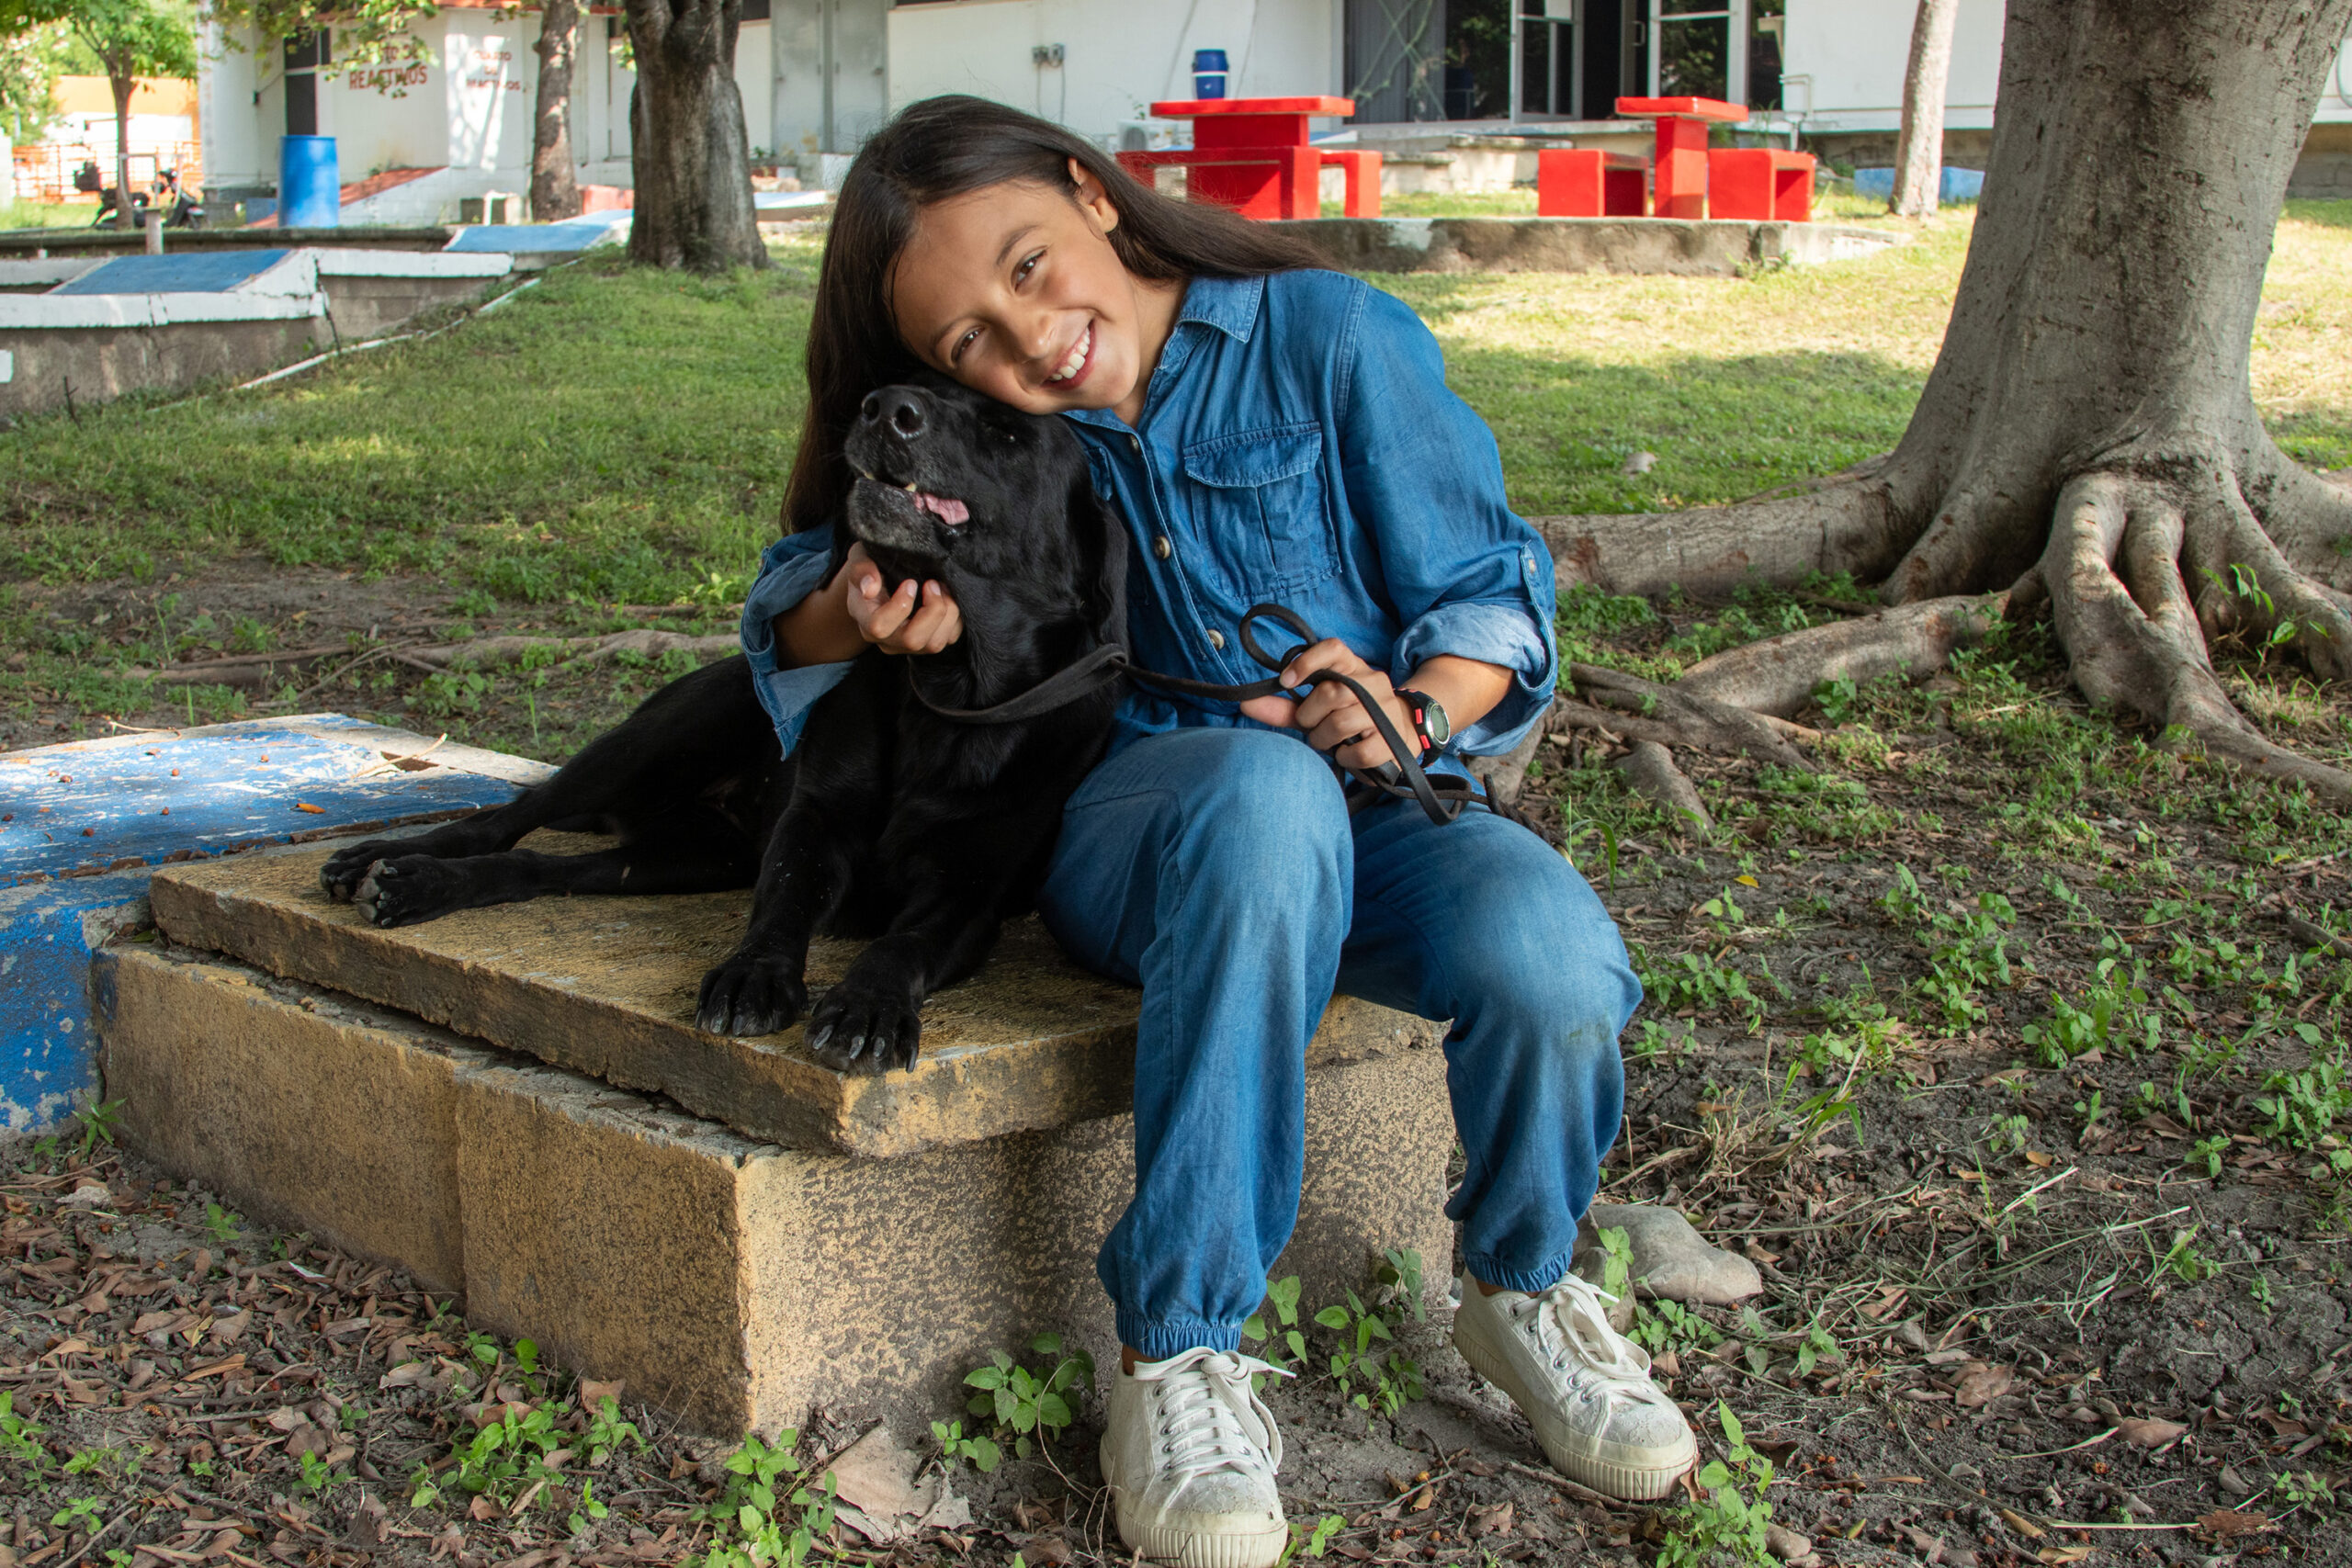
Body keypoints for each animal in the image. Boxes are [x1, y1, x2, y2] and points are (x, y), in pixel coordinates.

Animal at [317, 373, 1124, 1072]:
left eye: (1008, 431)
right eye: (920, 376)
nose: (881, 406)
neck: (949, 688)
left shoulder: (969, 892)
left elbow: (902, 945)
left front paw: (867, 1005)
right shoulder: (812, 824)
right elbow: (781, 902)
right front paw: (753, 975)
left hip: (686, 857)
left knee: (544, 867)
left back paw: (430, 884)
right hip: (659, 737)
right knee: (511, 815)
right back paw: (394, 864)